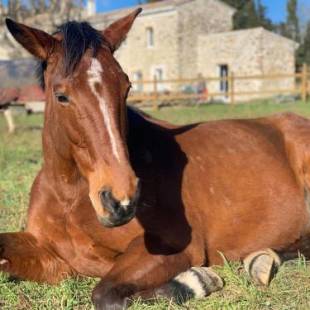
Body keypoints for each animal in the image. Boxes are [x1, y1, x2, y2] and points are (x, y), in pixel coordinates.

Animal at [1, 8, 310, 308]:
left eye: (126, 87)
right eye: (61, 95)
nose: (121, 200)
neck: (69, 195)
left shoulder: (173, 245)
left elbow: (106, 294)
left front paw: (198, 279)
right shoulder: (51, 256)